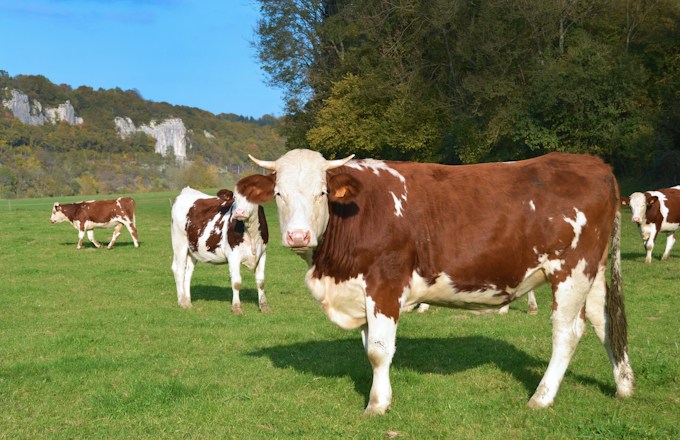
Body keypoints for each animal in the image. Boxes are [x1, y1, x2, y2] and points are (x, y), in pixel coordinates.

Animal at [236, 150, 636, 414]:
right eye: (278, 194)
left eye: (321, 192)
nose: (298, 236)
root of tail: (594, 162)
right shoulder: (360, 291)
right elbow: (369, 348)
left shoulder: (385, 282)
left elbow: (378, 350)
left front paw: (377, 405)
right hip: (592, 271)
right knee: (604, 321)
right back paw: (624, 386)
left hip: (571, 270)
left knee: (567, 332)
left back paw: (541, 397)